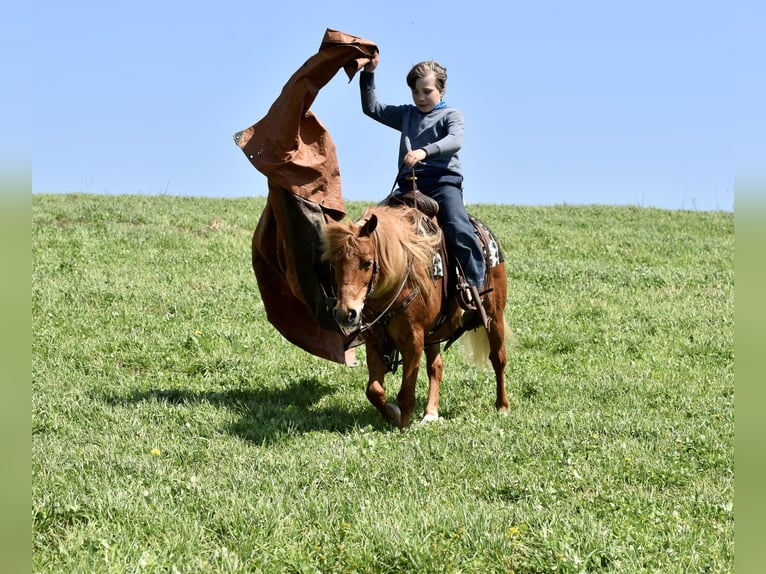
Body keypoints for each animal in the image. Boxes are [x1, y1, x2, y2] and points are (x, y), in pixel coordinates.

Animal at [320, 204, 510, 429]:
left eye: (367, 263)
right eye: (334, 263)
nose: (345, 313)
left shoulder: (413, 340)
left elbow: (405, 394)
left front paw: (403, 427)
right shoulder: (374, 341)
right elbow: (373, 390)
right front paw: (392, 414)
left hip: (494, 316)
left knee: (498, 358)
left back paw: (502, 406)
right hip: (433, 335)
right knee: (436, 367)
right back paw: (430, 413)